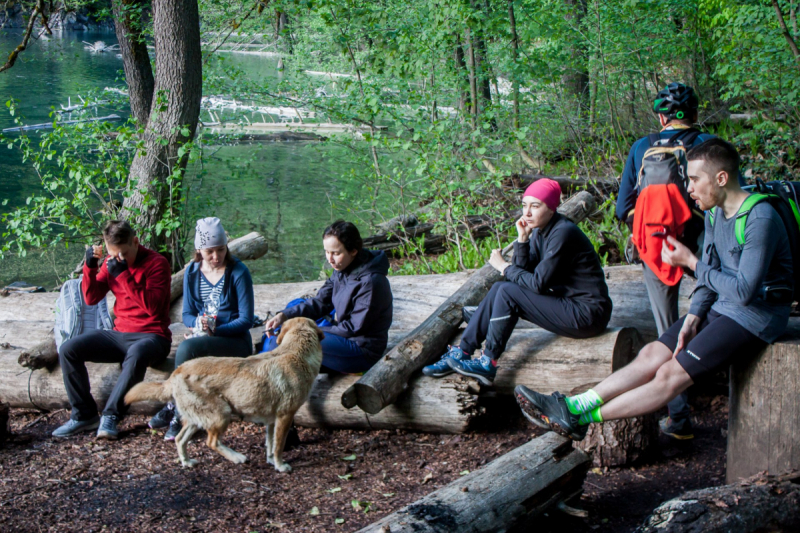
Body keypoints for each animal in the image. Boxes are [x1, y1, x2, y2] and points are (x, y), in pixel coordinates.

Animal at [126, 316, 324, 470]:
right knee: (211, 442)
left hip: (197, 419)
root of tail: (177, 372)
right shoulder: (285, 415)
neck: (296, 351)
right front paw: (280, 466)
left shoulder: (272, 420)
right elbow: (278, 446)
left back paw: (187, 462)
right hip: (222, 414)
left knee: (180, 439)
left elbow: (270, 444)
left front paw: (270, 462)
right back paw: (237, 457)